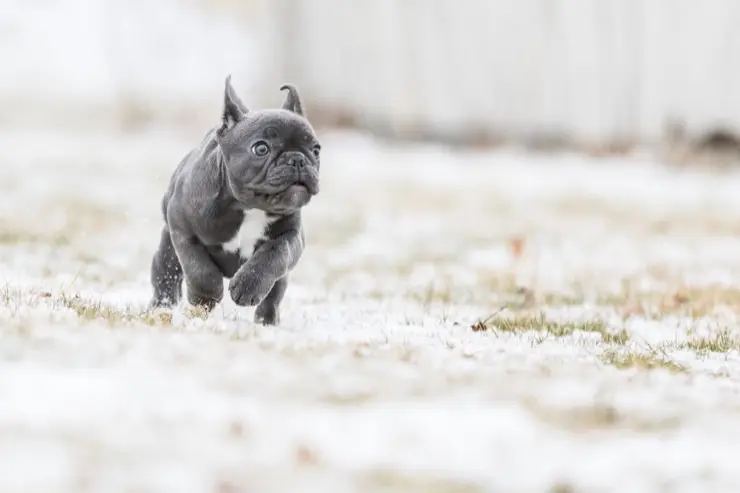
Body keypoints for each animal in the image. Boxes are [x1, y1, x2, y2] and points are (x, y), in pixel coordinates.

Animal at [148, 75, 320, 324]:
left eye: (316, 150)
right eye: (261, 148)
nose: (297, 159)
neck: (249, 207)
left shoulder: (292, 235)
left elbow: (277, 252)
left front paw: (248, 286)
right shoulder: (183, 230)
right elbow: (199, 268)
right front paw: (205, 298)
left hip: (281, 279)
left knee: (274, 294)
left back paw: (267, 321)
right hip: (167, 251)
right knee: (165, 276)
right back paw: (161, 308)